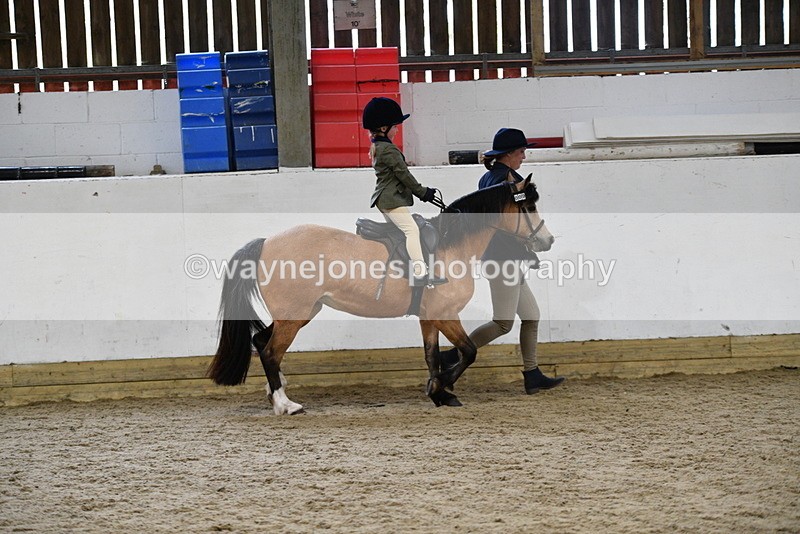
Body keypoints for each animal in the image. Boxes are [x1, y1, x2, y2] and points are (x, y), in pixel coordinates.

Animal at [207, 176, 554, 414]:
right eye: (529, 207)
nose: (547, 241)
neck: (450, 244)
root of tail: (267, 242)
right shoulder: (445, 315)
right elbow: (468, 352)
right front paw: (442, 386)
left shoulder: (429, 317)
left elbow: (431, 356)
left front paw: (439, 392)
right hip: (293, 316)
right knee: (270, 353)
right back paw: (286, 404)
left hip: (300, 314)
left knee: (261, 342)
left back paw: (275, 393)